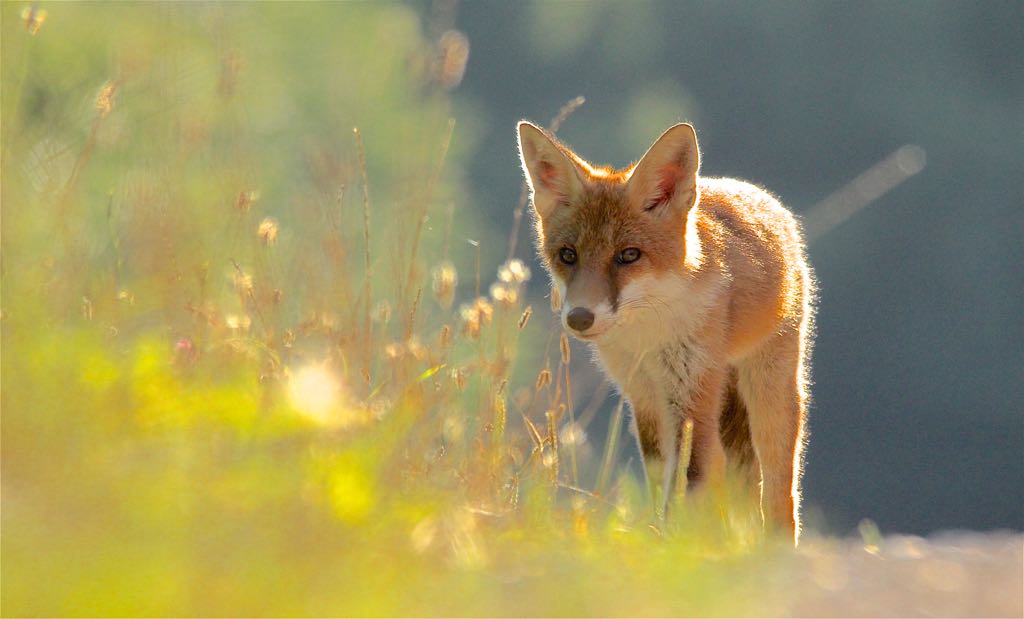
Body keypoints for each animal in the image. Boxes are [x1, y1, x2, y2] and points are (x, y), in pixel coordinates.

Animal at [517, 121, 815, 545]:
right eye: (568, 255)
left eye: (628, 255)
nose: (579, 318)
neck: (649, 337)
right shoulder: (644, 395)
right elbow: (663, 478)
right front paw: (669, 539)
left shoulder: (689, 394)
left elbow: (690, 478)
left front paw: (681, 546)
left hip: (770, 393)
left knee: (779, 491)